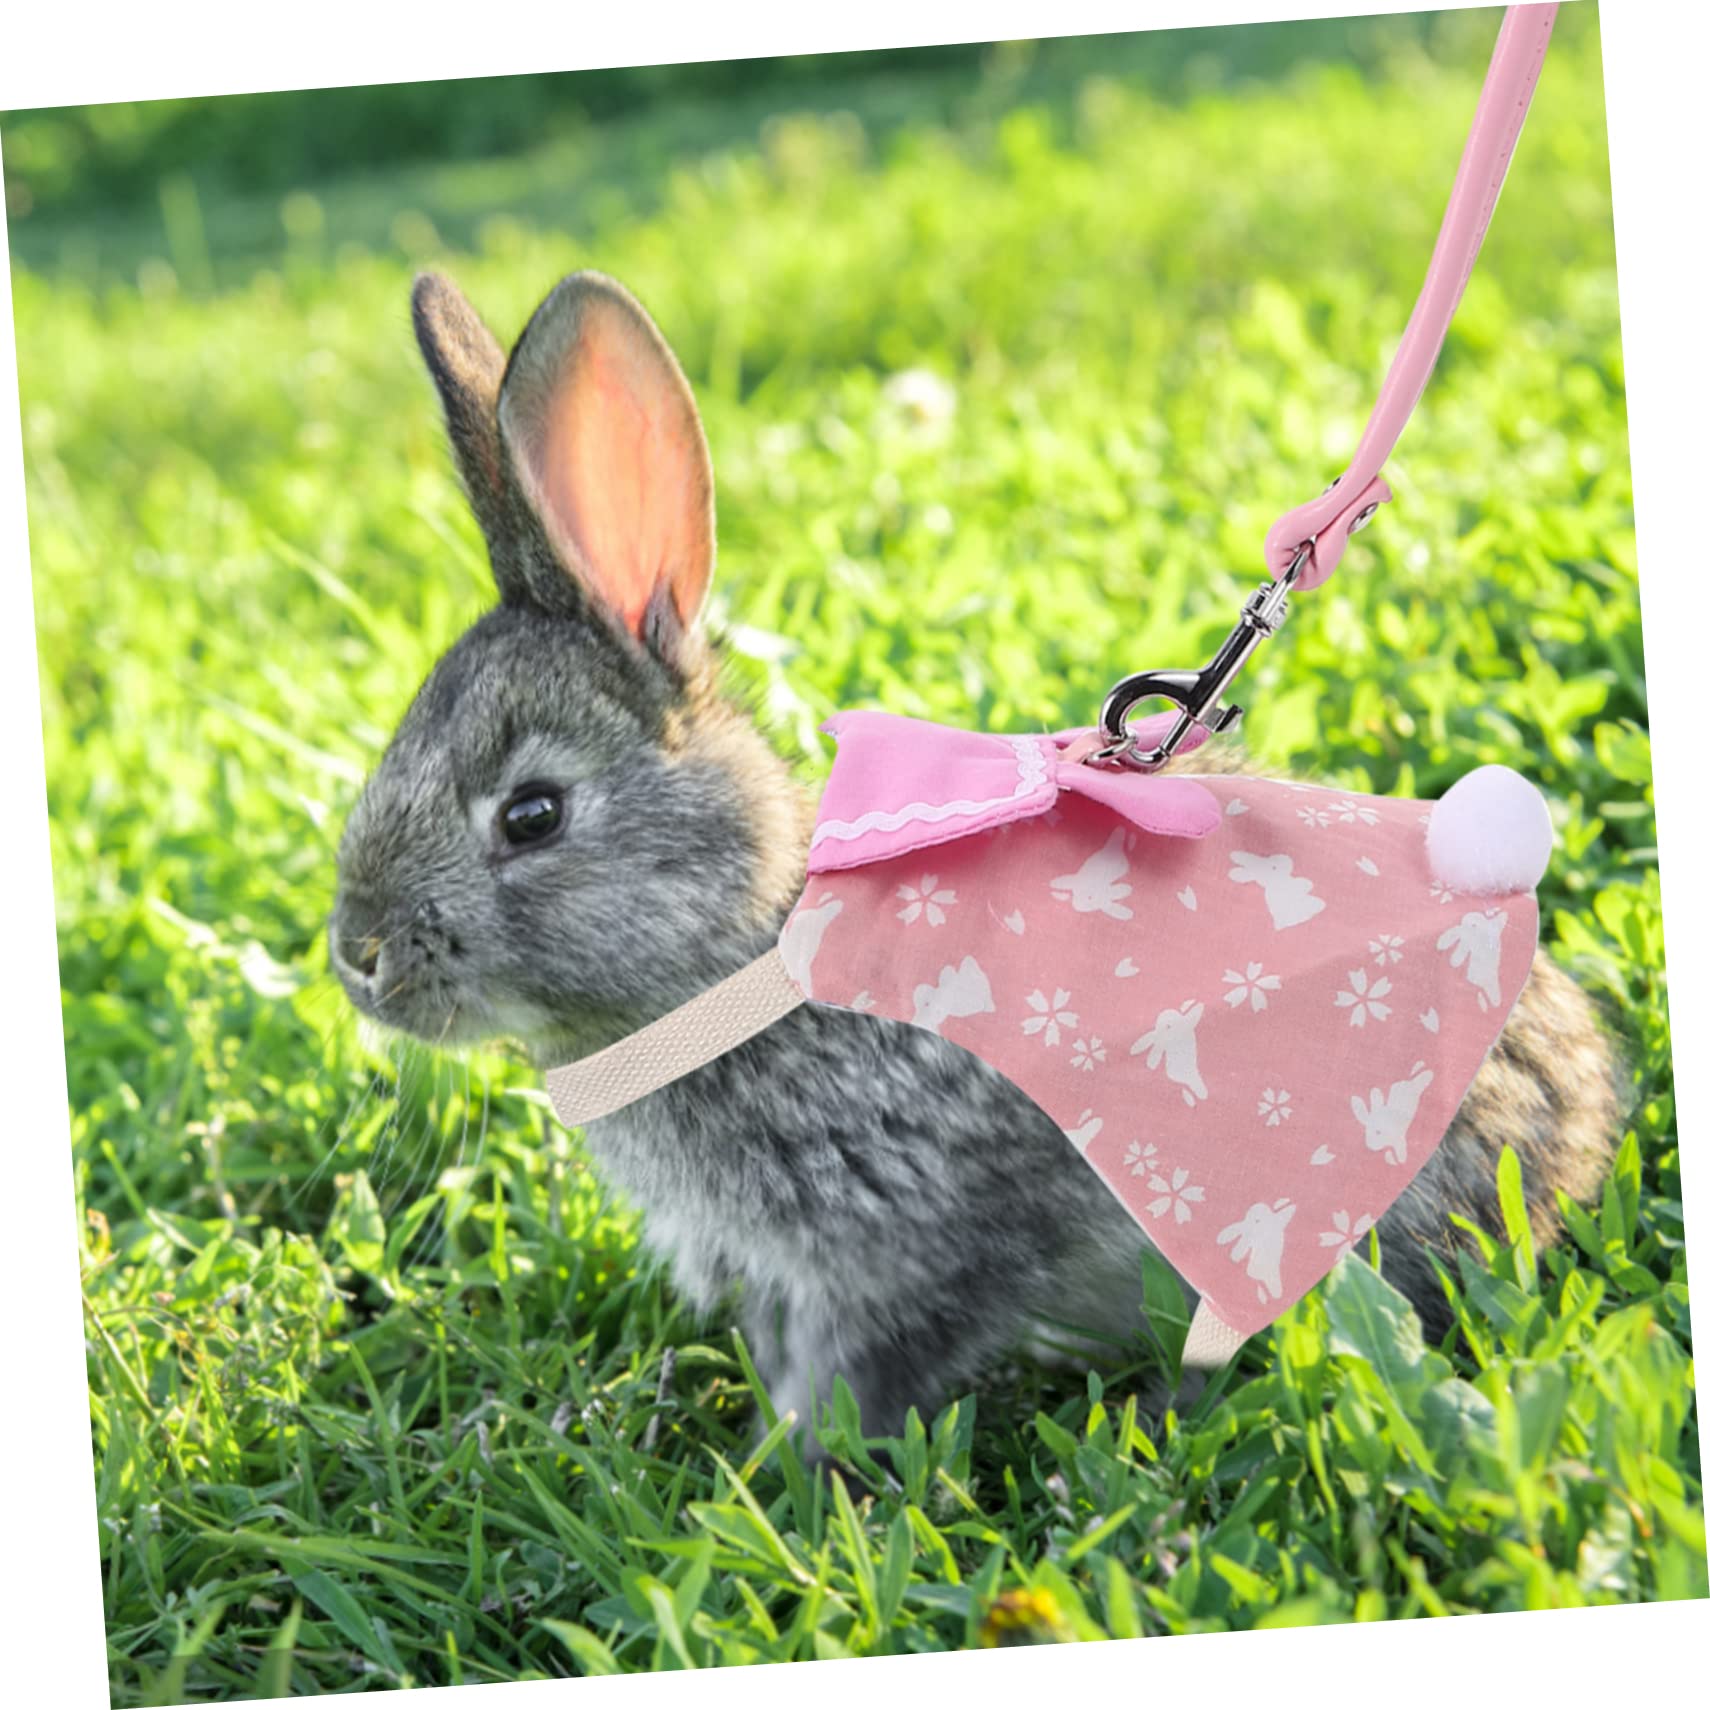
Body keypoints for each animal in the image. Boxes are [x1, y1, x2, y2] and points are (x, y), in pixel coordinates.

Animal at [330, 267, 1622, 1455]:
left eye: (532, 815)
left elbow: (862, 1374)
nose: (358, 956)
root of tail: (1580, 1127)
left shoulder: (912, 1248)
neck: (747, 966)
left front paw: (787, 1477)